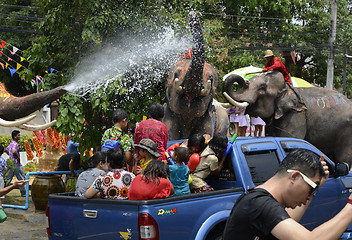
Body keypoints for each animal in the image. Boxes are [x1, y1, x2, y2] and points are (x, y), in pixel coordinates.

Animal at [223, 70, 352, 166]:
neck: (287, 87)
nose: (245, 81)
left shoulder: (295, 115)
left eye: (262, 87)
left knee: (343, 157)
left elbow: (291, 139)